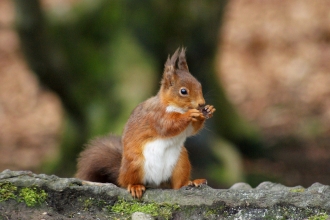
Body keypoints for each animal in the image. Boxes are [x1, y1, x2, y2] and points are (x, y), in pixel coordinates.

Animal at [75, 47, 215, 199]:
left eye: (199, 85)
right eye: (183, 91)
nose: (201, 103)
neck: (175, 107)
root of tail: (156, 183)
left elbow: (191, 131)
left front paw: (208, 110)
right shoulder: (156, 116)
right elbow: (168, 126)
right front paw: (190, 114)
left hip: (181, 162)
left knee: (178, 185)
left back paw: (192, 182)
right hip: (135, 163)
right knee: (127, 182)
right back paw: (135, 187)